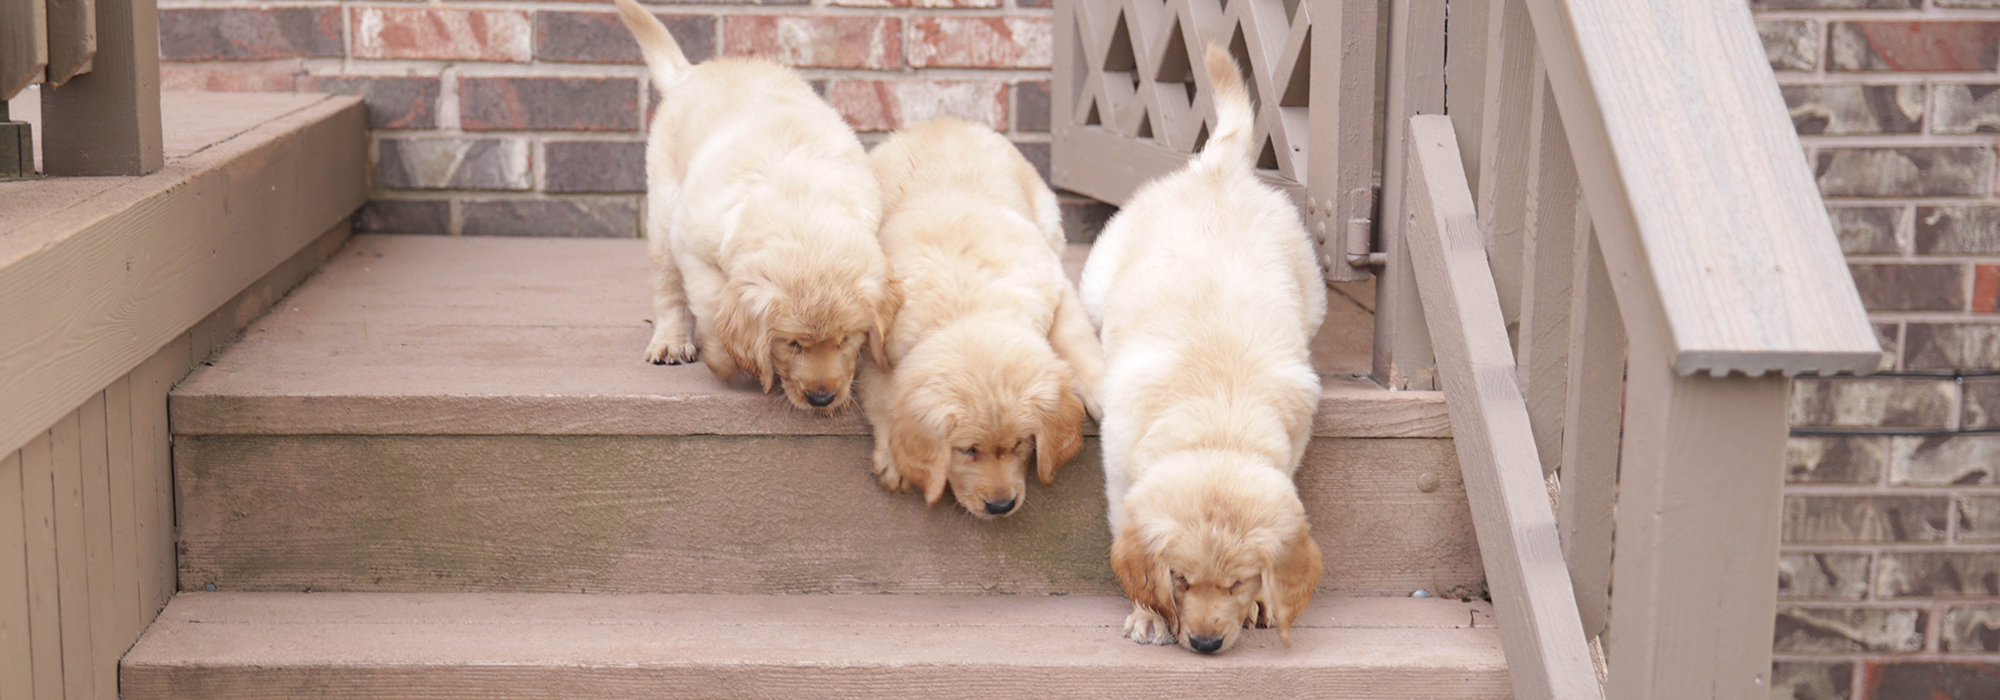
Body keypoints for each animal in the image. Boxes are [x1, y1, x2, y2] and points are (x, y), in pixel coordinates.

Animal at [608, 0, 892, 416]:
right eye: (793, 343)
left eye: (845, 339)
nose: (822, 398)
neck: (799, 204)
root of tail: (692, 73)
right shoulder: (695, 252)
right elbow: (715, 315)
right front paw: (732, 363)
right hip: (662, 210)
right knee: (668, 287)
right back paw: (671, 339)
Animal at [860, 116, 1112, 520]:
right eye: (968, 451)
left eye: (1021, 444)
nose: (1001, 505)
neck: (969, 307)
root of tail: (943, 121)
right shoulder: (875, 343)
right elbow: (883, 393)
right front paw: (895, 459)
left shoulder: (1055, 286)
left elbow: (1079, 342)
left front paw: (1105, 394)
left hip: (1049, 217)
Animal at [1080, 46, 1328, 652]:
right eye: (1181, 579)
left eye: (1238, 582)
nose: (1207, 643)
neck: (1219, 425)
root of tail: (1220, 167)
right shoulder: (1119, 474)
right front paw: (1148, 614)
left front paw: (1263, 605)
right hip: (1097, 277)